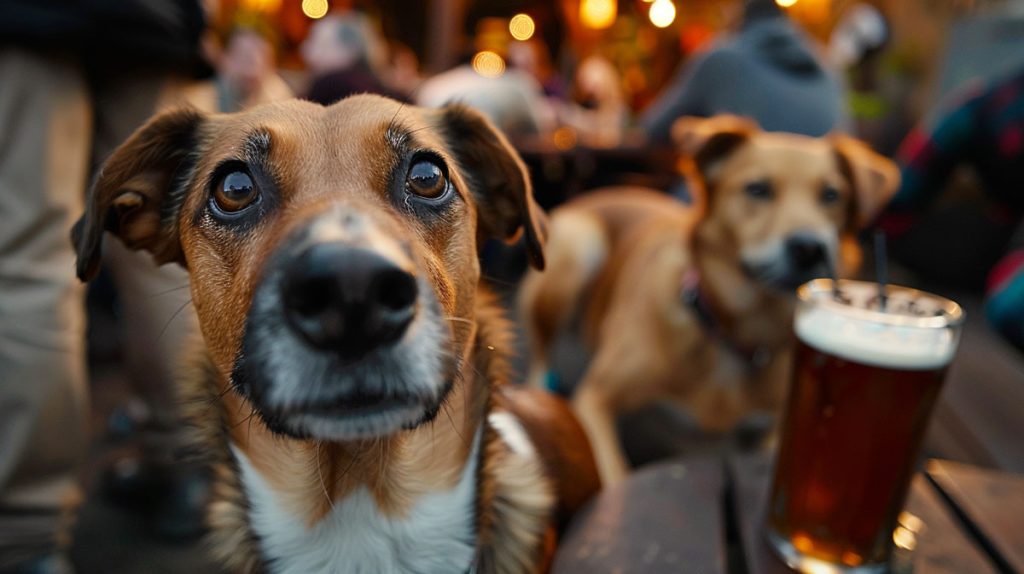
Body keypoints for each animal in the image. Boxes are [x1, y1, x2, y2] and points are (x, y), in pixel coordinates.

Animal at [520, 115, 897, 482]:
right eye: (758, 188)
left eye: (832, 195)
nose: (809, 247)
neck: (735, 333)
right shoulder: (594, 399)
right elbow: (616, 474)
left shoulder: (780, 429)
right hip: (576, 250)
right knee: (540, 353)